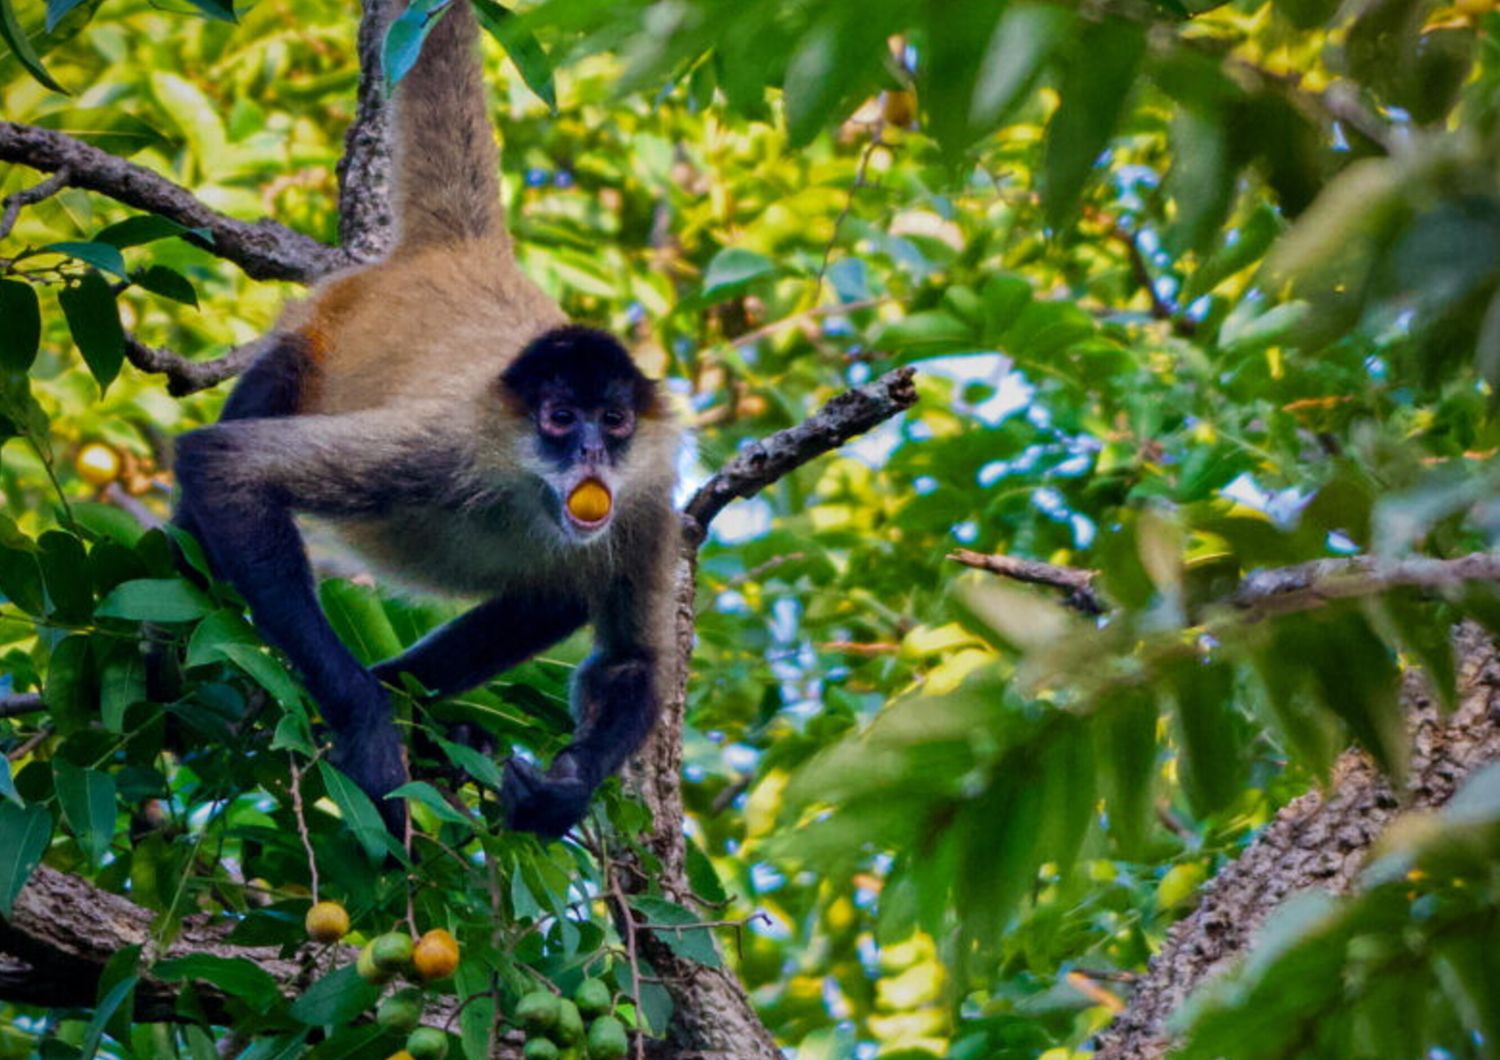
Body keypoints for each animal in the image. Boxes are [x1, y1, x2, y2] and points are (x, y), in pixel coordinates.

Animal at [174, 0, 681, 839]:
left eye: (612, 420)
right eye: (559, 417)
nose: (590, 454)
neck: (529, 494)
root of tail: (463, 253)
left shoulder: (645, 499)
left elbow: (629, 662)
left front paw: (564, 790)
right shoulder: (443, 447)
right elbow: (223, 467)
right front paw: (367, 721)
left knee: (559, 590)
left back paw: (419, 701)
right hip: (316, 335)